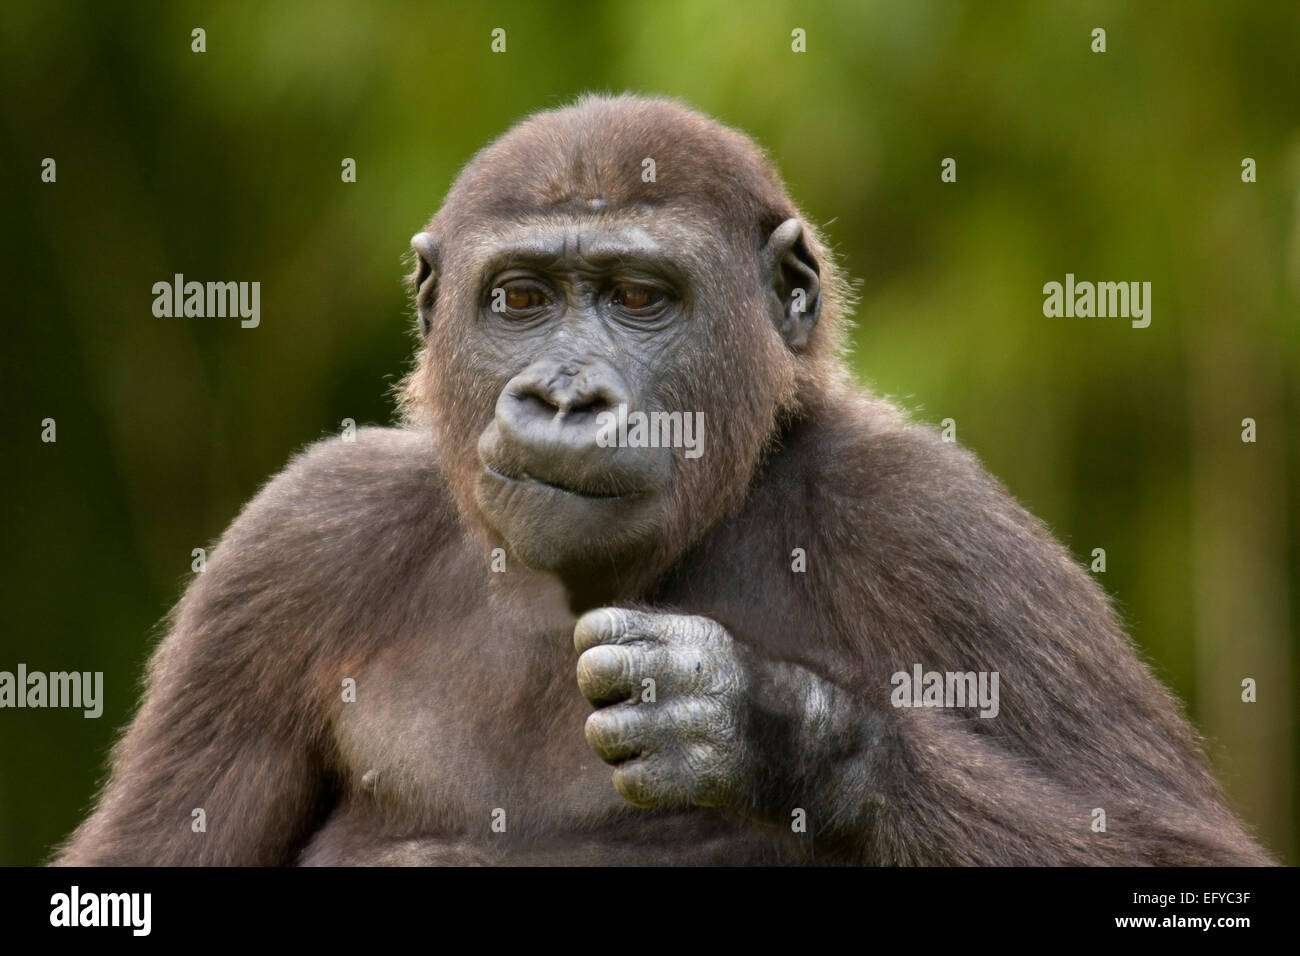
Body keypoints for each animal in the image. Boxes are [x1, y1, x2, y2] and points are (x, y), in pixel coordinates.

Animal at [58, 93, 1268, 863]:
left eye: (640, 298)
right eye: (521, 299)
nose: (563, 397)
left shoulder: (929, 521)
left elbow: (1163, 842)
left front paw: (782, 733)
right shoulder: (298, 543)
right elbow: (153, 847)